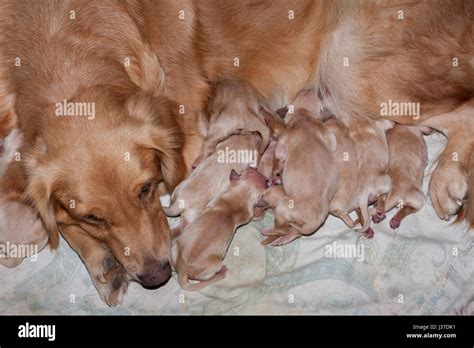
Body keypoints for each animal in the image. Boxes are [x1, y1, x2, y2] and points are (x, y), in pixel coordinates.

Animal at [260, 107, 340, 246]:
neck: (305, 121)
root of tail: (314, 222)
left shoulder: (282, 145)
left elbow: (277, 159)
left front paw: (275, 174)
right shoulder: (328, 136)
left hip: (282, 207)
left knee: (282, 229)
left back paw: (268, 231)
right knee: (294, 233)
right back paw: (282, 240)